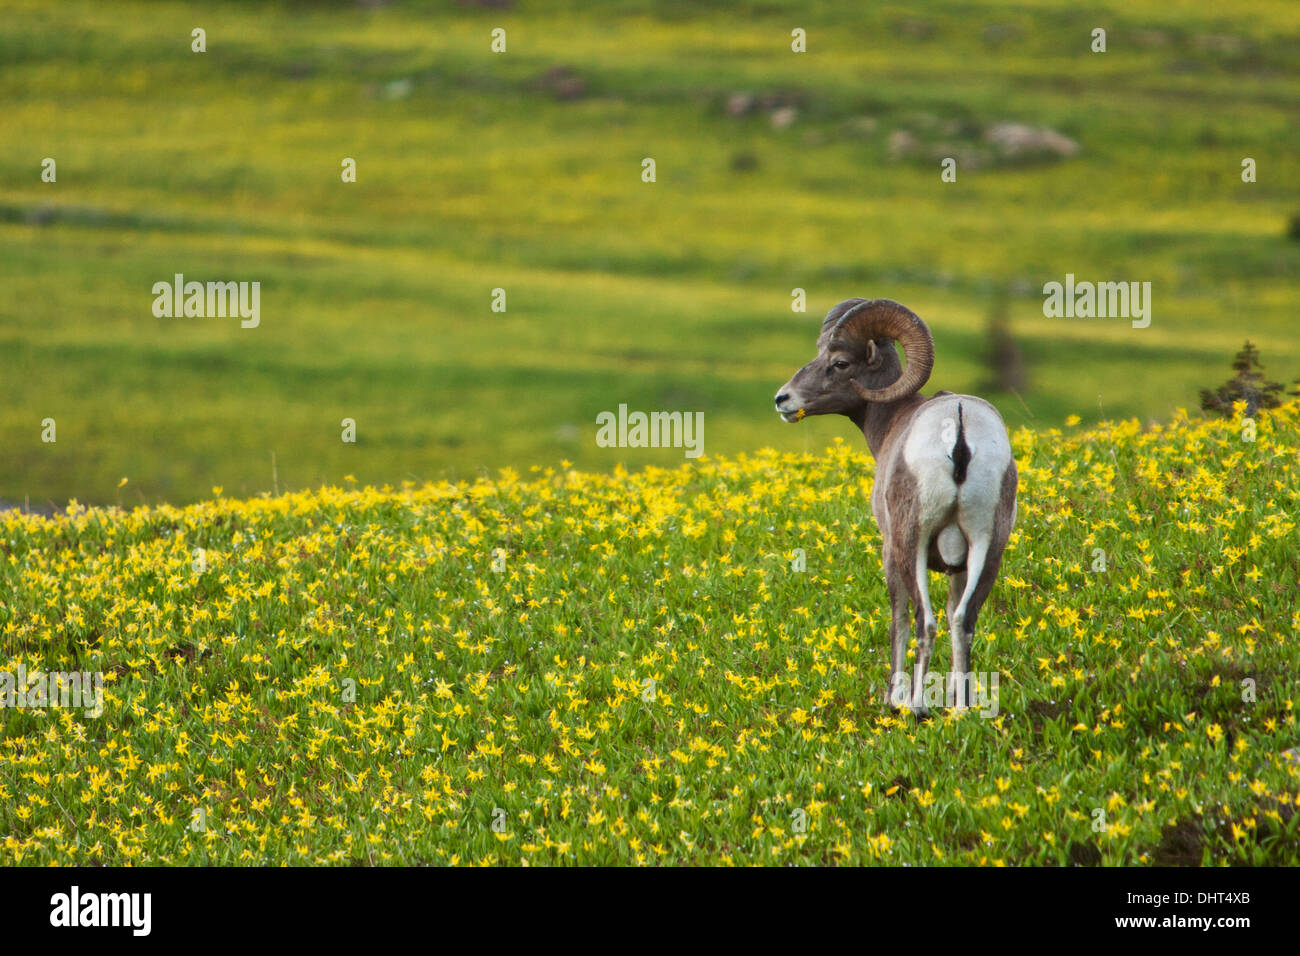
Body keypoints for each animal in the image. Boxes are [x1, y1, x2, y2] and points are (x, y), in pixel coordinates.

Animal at [769, 303, 1013, 712]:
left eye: (839, 363)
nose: (783, 400)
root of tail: (960, 429)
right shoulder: (959, 565)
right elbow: (953, 613)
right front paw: (952, 697)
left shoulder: (889, 549)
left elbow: (897, 619)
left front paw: (892, 699)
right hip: (987, 545)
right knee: (963, 620)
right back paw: (961, 711)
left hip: (911, 543)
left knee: (924, 620)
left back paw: (915, 707)